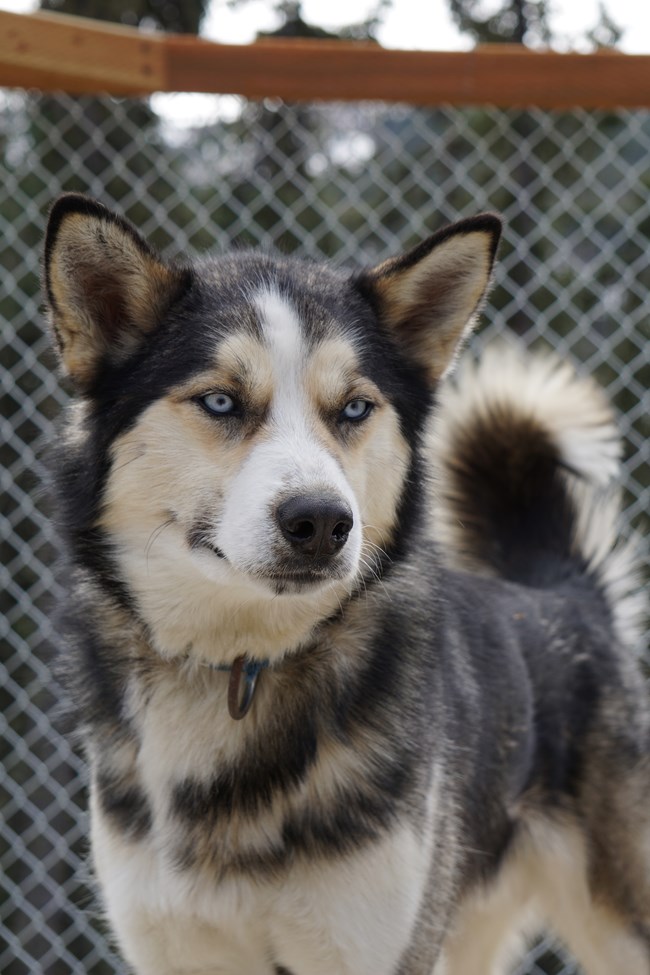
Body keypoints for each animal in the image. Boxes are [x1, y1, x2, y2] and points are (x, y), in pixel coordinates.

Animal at [43, 193, 644, 975]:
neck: (240, 668)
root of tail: (567, 596)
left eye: (355, 408)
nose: (322, 520)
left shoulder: (372, 948)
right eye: (221, 402)